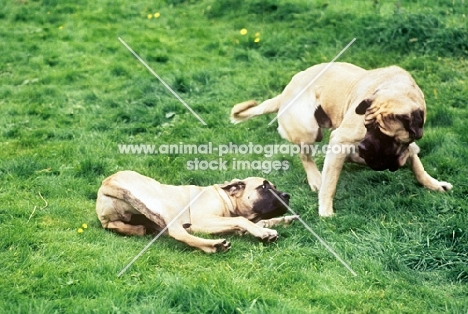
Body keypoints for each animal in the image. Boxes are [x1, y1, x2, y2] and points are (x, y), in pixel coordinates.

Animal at [96, 169, 298, 253]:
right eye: (264, 187)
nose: (287, 195)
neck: (227, 199)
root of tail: (108, 183)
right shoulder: (204, 220)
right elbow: (242, 221)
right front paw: (263, 232)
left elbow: (257, 221)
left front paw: (285, 220)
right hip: (166, 203)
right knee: (179, 233)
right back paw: (214, 246)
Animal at [232, 62, 452, 217]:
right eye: (367, 127)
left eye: (383, 135)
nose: (363, 147)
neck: (396, 88)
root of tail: (286, 91)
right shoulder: (341, 139)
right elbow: (330, 183)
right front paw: (325, 210)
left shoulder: (408, 142)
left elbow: (416, 162)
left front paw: (432, 184)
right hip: (309, 128)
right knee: (305, 156)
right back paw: (316, 178)